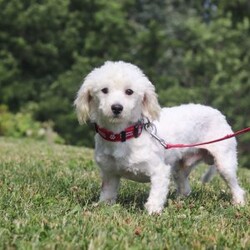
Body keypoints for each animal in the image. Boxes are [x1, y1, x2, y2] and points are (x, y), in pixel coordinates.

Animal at [73, 61, 244, 215]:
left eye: (129, 91)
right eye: (104, 90)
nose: (116, 108)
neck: (123, 135)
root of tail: (218, 113)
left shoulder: (160, 172)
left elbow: (156, 196)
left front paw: (153, 212)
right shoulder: (110, 174)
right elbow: (107, 196)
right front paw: (103, 208)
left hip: (224, 162)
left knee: (237, 188)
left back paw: (239, 204)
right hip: (180, 167)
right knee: (185, 187)